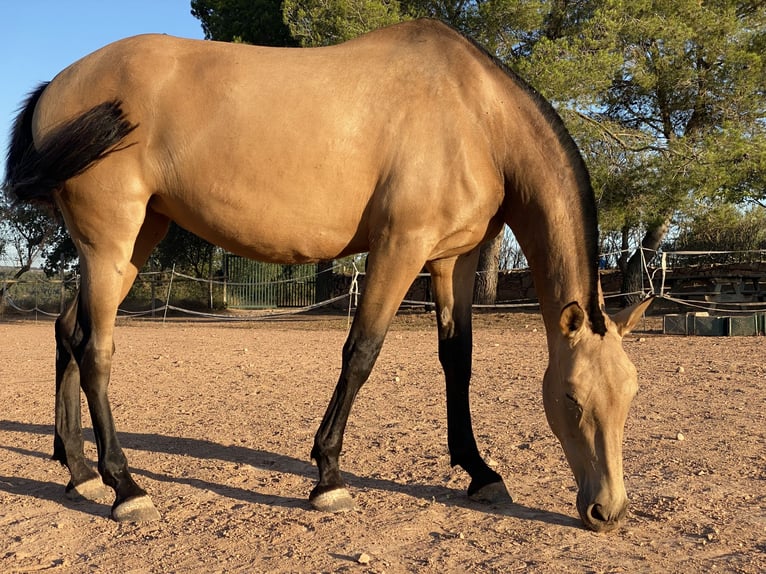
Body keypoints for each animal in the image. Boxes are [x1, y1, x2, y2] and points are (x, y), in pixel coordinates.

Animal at [4, 19, 656, 536]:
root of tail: (57, 85)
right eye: (571, 399)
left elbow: (458, 360)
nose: (608, 511)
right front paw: (329, 476)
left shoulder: (456, 258)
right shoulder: (400, 248)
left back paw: (78, 470)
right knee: (95, 349)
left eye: (631, 396)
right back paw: (125, 487)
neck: (474, 114)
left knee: (68, 333)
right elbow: (361, 352)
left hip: (134, 240)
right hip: (111, 240)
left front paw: (479, 472)